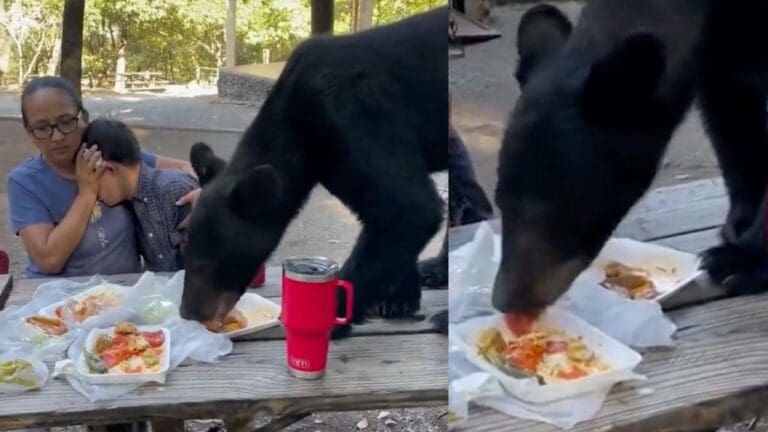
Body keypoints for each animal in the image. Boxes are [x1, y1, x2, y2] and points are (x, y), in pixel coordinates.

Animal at [178, 7, 449, 337]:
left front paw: (331, 318)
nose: (188, 312)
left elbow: (407, 207)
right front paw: (399, 297)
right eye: (185, 246)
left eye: (208, 263)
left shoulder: (350, 113)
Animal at [493, 1, 768, 313]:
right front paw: (739, 222)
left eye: (559, 212)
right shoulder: (721, 60)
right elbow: (731, 119)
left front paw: (742, 261)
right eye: (500, 203)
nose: (506, 301)